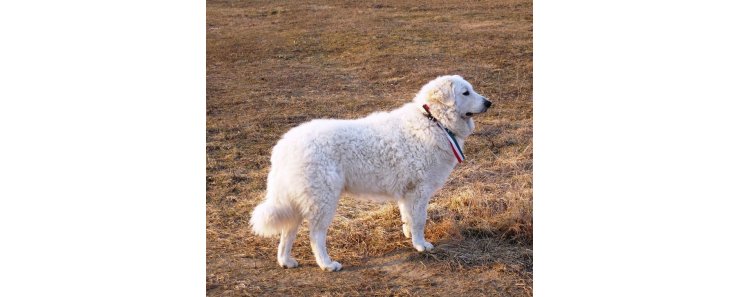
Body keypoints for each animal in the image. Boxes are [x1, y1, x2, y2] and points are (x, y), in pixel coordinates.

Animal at [250, 74, 492, 270]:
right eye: (465, 92)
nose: (489, 102)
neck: (434, 121)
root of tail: (284, 146)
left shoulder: (407, 194)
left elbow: (408, 218)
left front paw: (409, 236)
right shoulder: (419, 191)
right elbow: (420, 220)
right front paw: (421, 245)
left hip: (298, 201)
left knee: (287, 233)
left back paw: (286, 261)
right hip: (323, 200)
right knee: (315, 236)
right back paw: (327, 264)